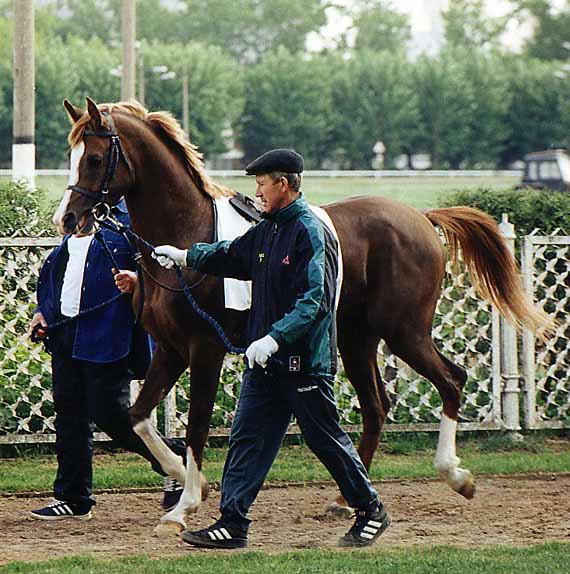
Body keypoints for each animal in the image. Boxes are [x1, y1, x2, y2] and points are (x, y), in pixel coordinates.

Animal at [55, 98, 548, 536]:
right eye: (70, 155)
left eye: (94, 158)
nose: (69, 218)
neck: (186, 233)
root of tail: (422, 218)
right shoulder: (172, 350)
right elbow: (139, 416)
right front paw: (188, 484)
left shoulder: (204, 350)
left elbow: (195, 425)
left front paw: (185, 505)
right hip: (356, 338)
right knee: (377, 407)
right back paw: (346, 499)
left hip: (405, 332)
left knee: (452, 380)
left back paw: (454, 475)